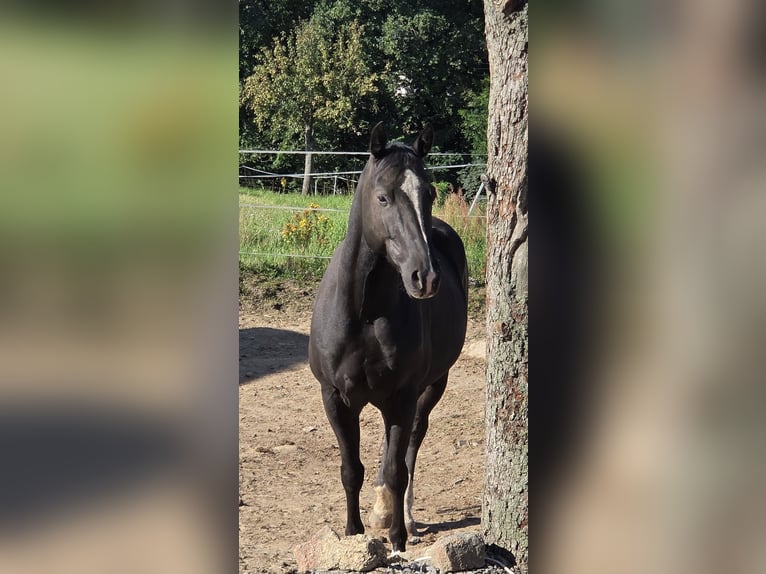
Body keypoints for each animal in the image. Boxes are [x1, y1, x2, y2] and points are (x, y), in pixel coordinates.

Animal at [308, 123, 468, 553]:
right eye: (382, 197)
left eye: (429, 193)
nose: (425, 277)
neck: (363, 314)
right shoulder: (335, 397)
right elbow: (351, 469)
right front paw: (353, 532)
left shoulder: (402, 396)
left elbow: (397, 470)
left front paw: (397, 539)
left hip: (432, 387)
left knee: (411, 445)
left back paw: (404, 518)